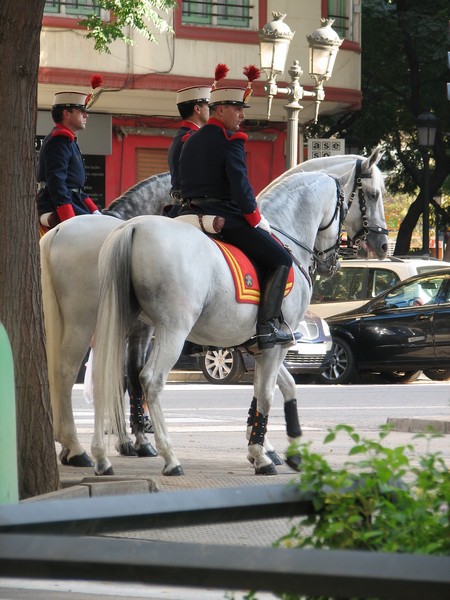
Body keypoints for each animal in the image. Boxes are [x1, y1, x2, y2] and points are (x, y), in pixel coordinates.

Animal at [40, 171, 171, 466]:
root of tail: (56, 233)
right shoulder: (140, 330)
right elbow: (132, 375)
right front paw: (139, 440)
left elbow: (117, 377)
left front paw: (125, 440)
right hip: (79, 323)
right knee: (64, 371)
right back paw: (76, 449)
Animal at [90, 151, 386, 478]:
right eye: (373, 194)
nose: (383, 245)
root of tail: (133, 228)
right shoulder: (277, 344)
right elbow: (266, 393)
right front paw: (261, 453)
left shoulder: (261, 344)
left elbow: (280, 386)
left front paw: (282, 447)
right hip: (171, 330)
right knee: (149, 381)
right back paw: (168, 456)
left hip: (117, 324)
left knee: (106, 378)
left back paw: (101, 456)